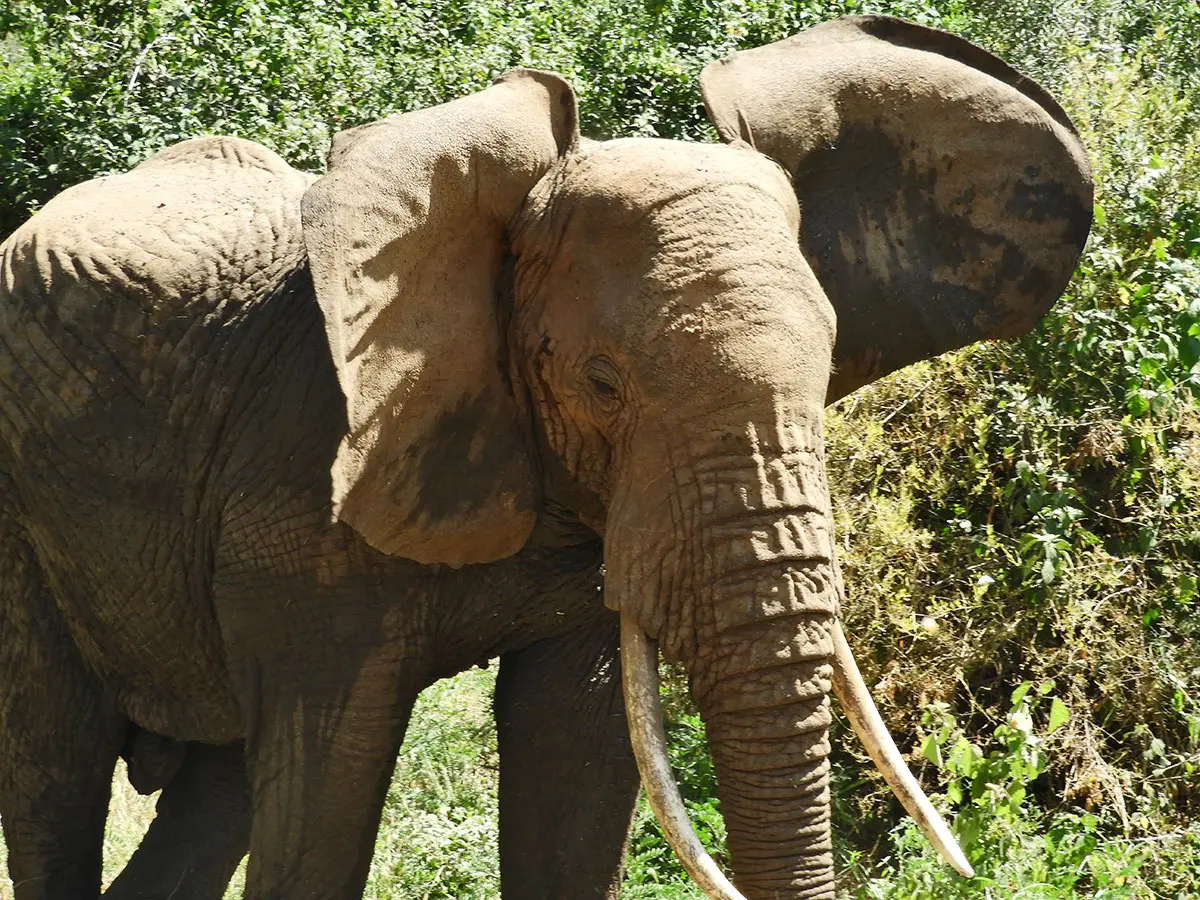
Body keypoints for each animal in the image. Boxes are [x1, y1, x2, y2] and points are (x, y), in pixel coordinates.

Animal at [0, 15, 1091, 900]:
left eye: (826, 367)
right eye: (602, 382)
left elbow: (574, 765)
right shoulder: (300, 481)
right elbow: (324, 783)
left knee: (214, 790)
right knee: (56, 764)